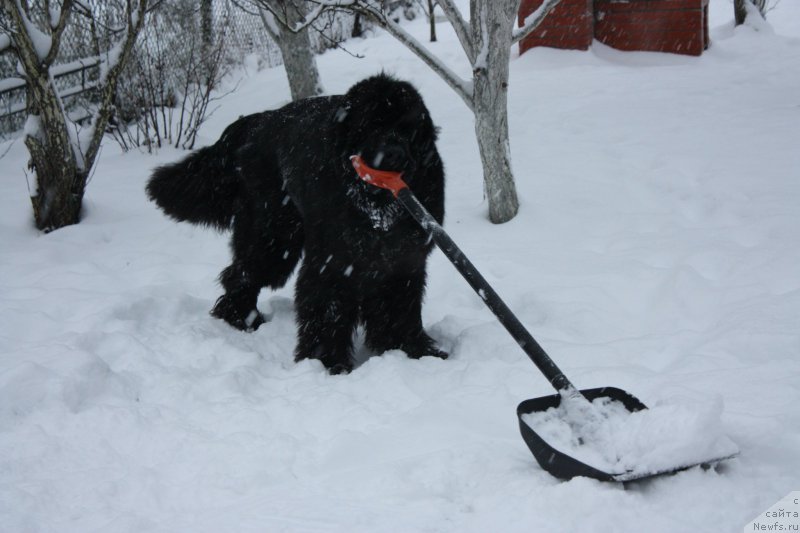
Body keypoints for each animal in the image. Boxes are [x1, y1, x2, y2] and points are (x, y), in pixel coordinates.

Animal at [147, 75, 446, 374]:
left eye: (407, 129)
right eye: (371, 126)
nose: (393, 154)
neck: (377, 208)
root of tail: (256, 121)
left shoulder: (404, 259)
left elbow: (399, 307)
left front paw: (412, 351)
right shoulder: (332, 260)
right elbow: (327, 309)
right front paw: (326, 363)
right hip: (273, 237)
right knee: (241, 272)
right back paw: (241, 319)